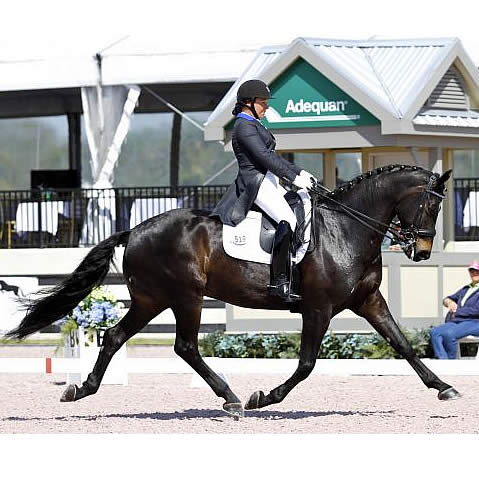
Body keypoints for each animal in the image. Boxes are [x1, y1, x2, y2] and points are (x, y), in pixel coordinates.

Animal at [4, 165, 462, 420]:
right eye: (431, 205)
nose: (421, 251)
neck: (346, 229)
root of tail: (134, 231)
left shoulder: (368, 301)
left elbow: (403, 345)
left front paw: (444, 387)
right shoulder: (318, 309)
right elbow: (307, 364)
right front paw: (265, 398)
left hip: (151, 300)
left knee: (115, 336)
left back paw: (82, 389)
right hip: (185, 297)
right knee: (185, 347)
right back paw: (233, 400)